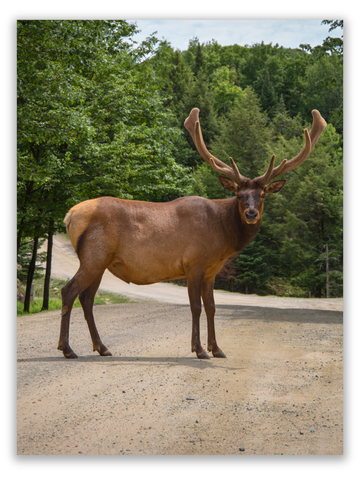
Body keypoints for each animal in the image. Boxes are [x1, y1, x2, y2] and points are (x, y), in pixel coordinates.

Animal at [58, 107, 326, 358]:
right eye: (239, 194)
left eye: (262, 195)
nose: (251, 214)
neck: (223, 237)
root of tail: (69, 215)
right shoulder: (193, 263)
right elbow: (196, 307)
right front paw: (199, 349)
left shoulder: (211, 271)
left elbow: (212, 307)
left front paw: (217, 348)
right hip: (94, 256)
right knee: (69, 291)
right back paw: (67, 348)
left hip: (100, 261)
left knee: (87, 298)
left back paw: (101, 347)